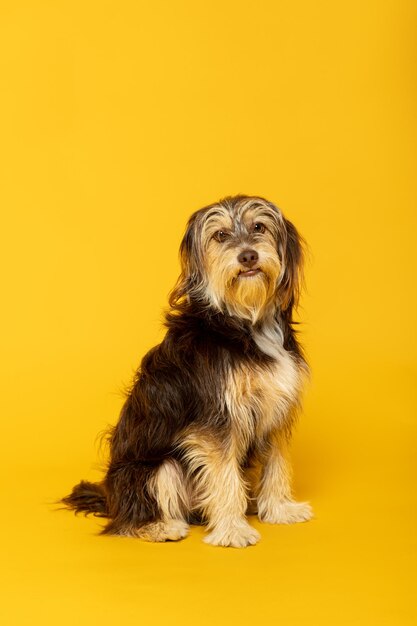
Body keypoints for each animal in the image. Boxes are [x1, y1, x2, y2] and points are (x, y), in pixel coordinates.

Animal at [62, 193, 312, 544]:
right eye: (220, 235)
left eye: (258, 227)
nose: (248, 256)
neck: (245, 322)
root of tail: (111, 499)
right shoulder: (217, 420)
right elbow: (224, 477)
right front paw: (232, 530)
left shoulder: (275, 410)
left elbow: (277, 464)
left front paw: (279, 510)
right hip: (157, 469)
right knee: (129, 520)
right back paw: (161, 527)